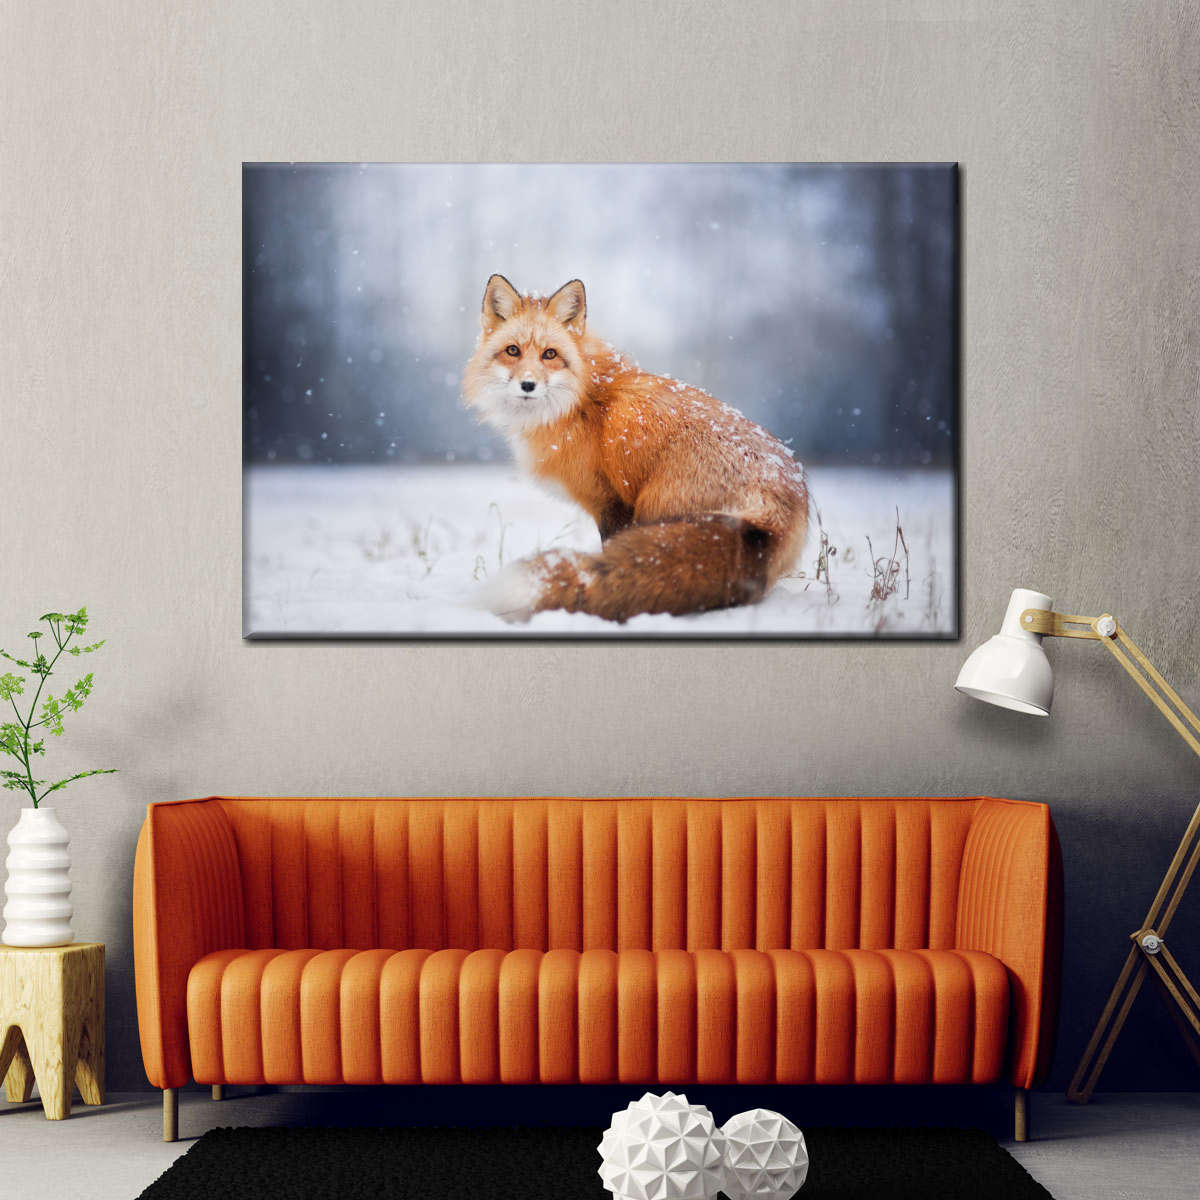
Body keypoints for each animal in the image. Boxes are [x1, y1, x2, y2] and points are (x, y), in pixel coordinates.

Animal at [462, 274, 809, 623]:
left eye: (549, 354)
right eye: (512, 350)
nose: (528, 385)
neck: (582, 401)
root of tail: (773, 513)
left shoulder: (612, 502)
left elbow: (608, 554)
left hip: (653, 510)